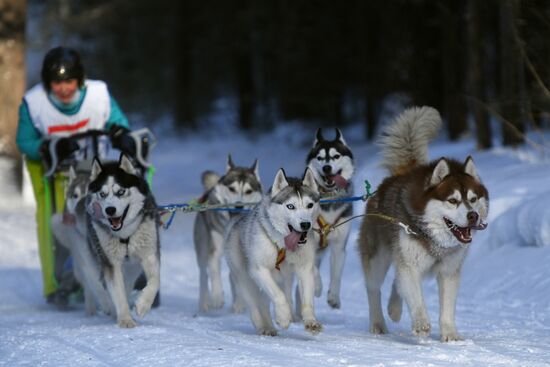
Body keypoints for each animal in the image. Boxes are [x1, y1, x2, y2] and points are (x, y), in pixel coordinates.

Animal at [86, 154, 160, 330]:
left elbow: (155, 280)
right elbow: (118, 293)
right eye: (102, 194)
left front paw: (143, 305)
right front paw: (125, 319)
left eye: (120, 192)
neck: (125, 233)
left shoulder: (149, 255)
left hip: (133, 267)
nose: (110, 210)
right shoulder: (111, 263)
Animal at [193, 155, 264, 314]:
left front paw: (240, 302)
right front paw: (217, 297)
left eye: (249, 191)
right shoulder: (214, 250)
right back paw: (204, 304)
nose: (239, 205)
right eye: (232, 189)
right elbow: (214, 272)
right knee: (203, 274)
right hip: (202, 246)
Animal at [226, 169, 326, 336]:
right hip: (246, 281)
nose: (305, 224)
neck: (283, 247)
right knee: (255, 305)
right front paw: (283, 317)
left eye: (310, 205)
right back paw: (264, 326)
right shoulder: (259, 270)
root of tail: (237, 221)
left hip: (283, 280)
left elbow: (307, 299)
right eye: (290, 206)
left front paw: (311, 321)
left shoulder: (304, 269)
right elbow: (278, 295)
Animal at [308, 128, 356, 310]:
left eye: (336, 156)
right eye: (320, 158)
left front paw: (334, 297)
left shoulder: (339, 246)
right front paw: (318, 286)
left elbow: (336, 275)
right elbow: (314, 271)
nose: (327, 167)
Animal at [358, 106, 492, 342]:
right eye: (453, 200)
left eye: (474, 199)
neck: (434, 238)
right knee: (374, 289)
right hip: (378, 257)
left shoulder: (448, 271)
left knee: (397, 282)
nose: (473, 216)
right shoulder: (410, 265)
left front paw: (450, 334)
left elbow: (446, 308)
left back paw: (394, 308)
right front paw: (421, 324)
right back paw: (378, 323)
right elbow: (416, 297)